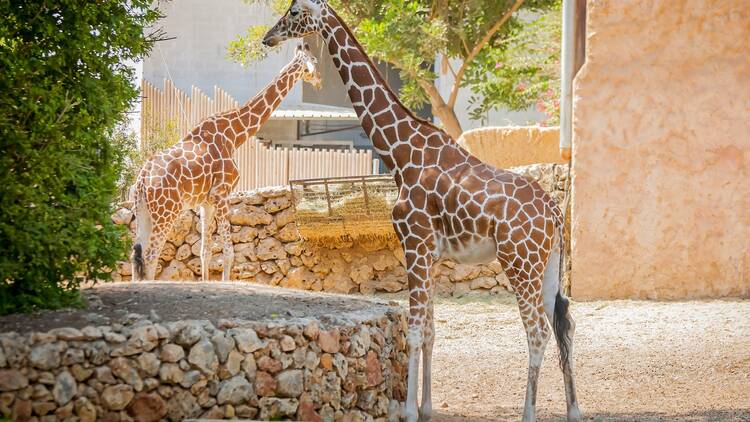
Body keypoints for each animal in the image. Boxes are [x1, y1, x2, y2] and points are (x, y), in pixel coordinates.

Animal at [132, 43, 320, 280]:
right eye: (314, 61)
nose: (320, 81)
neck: (234, 136)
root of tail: (142, 180)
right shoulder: (221, 193)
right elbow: (228, 253)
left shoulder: (206, 202)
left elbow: (205, 252)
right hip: (166, 212)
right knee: (150, 257)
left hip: (143, 212)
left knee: (135, 256)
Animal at [264, 3, 580, 422]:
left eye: (295, 11)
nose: (268, 37)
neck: (399, 153)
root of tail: (555, 215)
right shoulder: (430, 253)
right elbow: (430, 330)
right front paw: (426, 406)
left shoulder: (414, 244)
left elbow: (413, 331)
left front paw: (410, 411)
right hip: (548, 267)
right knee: (565, 327)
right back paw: (574, 410)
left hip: (519, 263)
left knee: (538, 333)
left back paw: (528, 413)